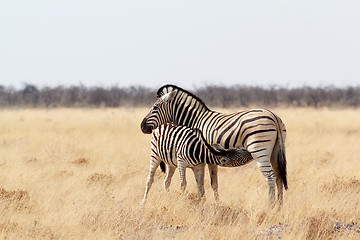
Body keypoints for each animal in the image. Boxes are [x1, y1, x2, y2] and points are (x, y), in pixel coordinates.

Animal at [141, 84, 286, 204]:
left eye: (155, 107)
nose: (142, 127)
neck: (194, 121)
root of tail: (273, 116)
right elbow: (213, 183)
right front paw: (215, 203)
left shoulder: (206, 156)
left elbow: (211, 183)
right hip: (274, 152)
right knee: (279, 177)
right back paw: (279, 207)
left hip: (260, 150)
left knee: (270, 177)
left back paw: (270, 206)